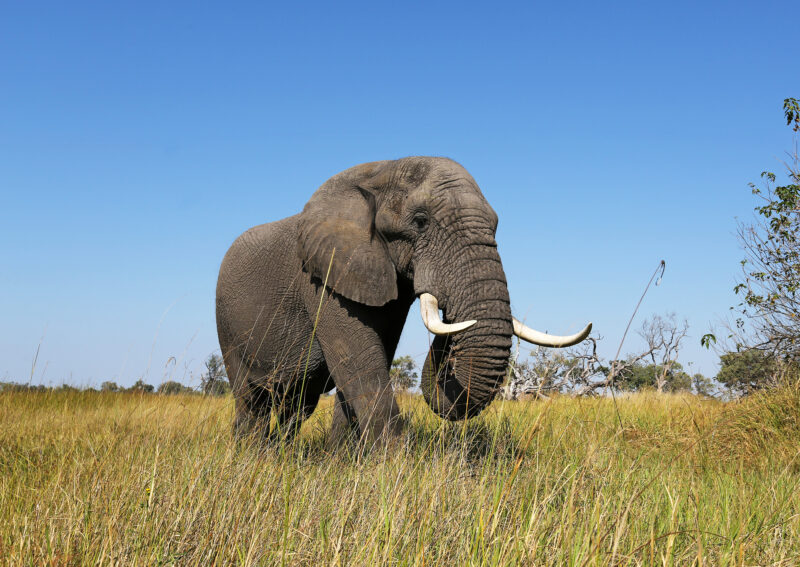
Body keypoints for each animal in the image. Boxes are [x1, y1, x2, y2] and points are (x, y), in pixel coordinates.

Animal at [215, 157, 591, 446]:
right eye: (420, 222)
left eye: (496, 226)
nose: (450, 314)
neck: (380, 171)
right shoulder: (324, 276)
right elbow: (359, 363)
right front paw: (390, 466)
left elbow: (373, 355)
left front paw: (341, 461)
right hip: (226, 325)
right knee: (250, 401)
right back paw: (255, 457)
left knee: (297, 404)